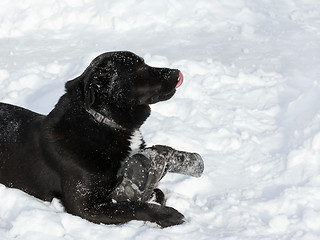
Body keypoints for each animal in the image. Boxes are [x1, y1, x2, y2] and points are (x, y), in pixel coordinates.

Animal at [0, 51, 202, 228]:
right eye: (139, 68)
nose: (176, 72)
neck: (100, 122)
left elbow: (156, 193)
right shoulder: (84, 206)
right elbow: (131, 207)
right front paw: (167, 215)